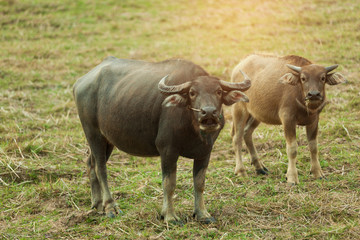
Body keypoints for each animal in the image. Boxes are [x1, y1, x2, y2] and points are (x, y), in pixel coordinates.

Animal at [73, 56, 250, 223]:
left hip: (107, 140)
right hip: (93, 133)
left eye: (218, 91)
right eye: (192, 92)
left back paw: (97, 204)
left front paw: (202, 214)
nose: (209, 113)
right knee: (101, 168)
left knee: (90, 163)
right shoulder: (167, 150)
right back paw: (110, 207)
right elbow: (169, 184)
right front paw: (170, 216)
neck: (193, 128)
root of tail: (80, 83)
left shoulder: (205, 152)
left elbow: (200, 183)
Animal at [231, 54, 346, 185]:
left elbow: (313, 147)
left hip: (256, 114)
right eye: (303, 78)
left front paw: (318, 173)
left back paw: (259, 167)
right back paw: (241, 171)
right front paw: (292, 178)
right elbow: (292, 148)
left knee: (247, 133)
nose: (313, 94)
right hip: (239, 109)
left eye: (322, 78)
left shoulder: (314, 120)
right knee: (237, 138)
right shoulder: (287, 119)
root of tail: (238, 66)